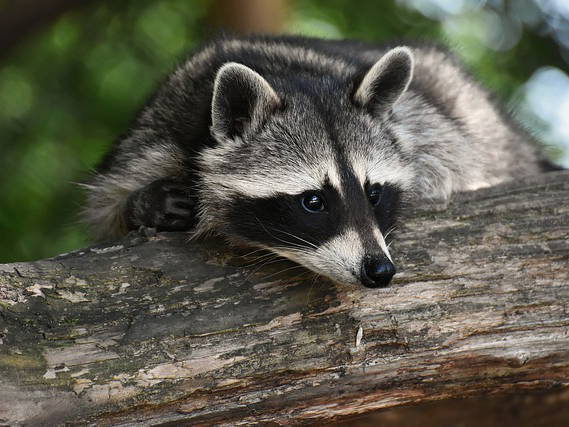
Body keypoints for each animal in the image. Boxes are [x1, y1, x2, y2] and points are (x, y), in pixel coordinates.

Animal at [81, 35, 544, 290]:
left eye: (373, 193)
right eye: (313, 202)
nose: (379, 270)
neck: (289, 76)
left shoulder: (428, 128)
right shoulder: (156, 132)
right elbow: (107, 205)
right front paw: (144, 204)